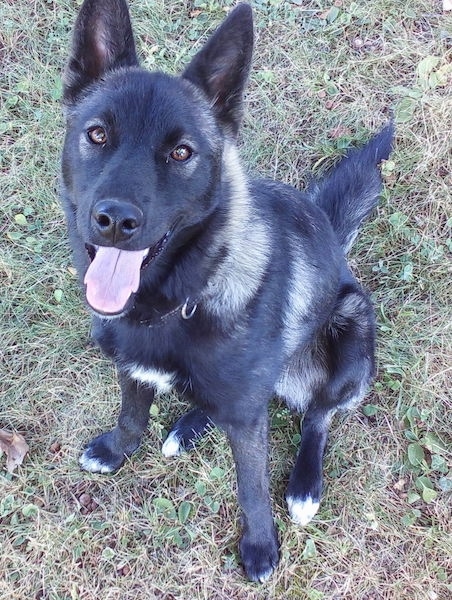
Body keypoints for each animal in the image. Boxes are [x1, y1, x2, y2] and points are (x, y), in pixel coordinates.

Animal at [61, 0, 394, 580]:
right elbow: (131, 415)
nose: (115, 221)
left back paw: (305, 483)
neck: (178, 299)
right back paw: (191, 423)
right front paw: (118, 449)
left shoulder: (249, 420)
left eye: (182, 153)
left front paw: (260, 545)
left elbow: (252, 487)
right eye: (97, 134)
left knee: (318, 416)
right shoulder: (132, 368)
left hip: (352, 335)